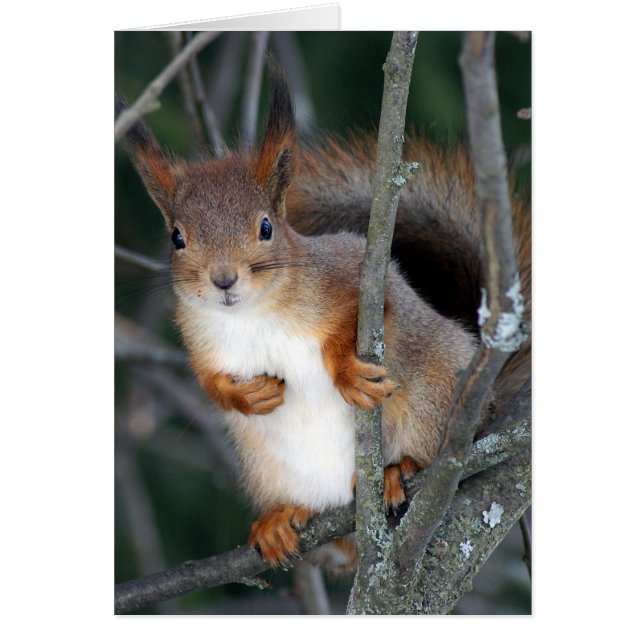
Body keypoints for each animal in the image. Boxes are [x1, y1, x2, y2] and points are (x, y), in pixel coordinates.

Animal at [117, 60, 531, 572]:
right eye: (177, 237)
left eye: (266, 228)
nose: (223, 280)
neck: (252, 315)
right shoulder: (200, 339)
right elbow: (208, 381)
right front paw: (245, 396)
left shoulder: (353, 269)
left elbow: (365, 312)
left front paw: (346, 372)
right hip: (269, 469)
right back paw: (281, 521)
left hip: (434, 400)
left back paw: (398, 471)